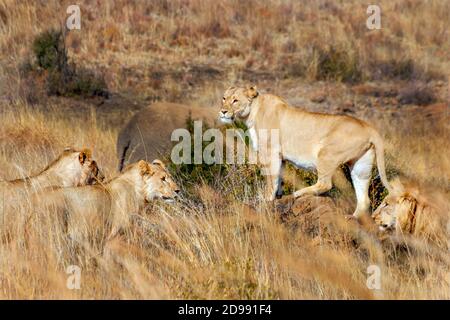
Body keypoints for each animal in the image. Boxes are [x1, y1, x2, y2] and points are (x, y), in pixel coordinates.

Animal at [30, 160, 179, 248]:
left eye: (170, 177)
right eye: (163, 179)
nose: (178, 190)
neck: (140, 192)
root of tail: (33, 199)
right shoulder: (115, 234)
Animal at [218, 85, 390, 218]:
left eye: (235, 100)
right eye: (224, 98)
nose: (223, 112)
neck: (252, 112)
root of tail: (369, 127)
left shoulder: (270, 152)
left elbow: (271, 180)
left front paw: (266, 200)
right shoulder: (280, 157)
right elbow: (279, 179)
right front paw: (277, 197)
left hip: (325, 154)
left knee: (325, 184)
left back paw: (296, 195)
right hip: (361, 165)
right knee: (364, 199)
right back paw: (352, 218)